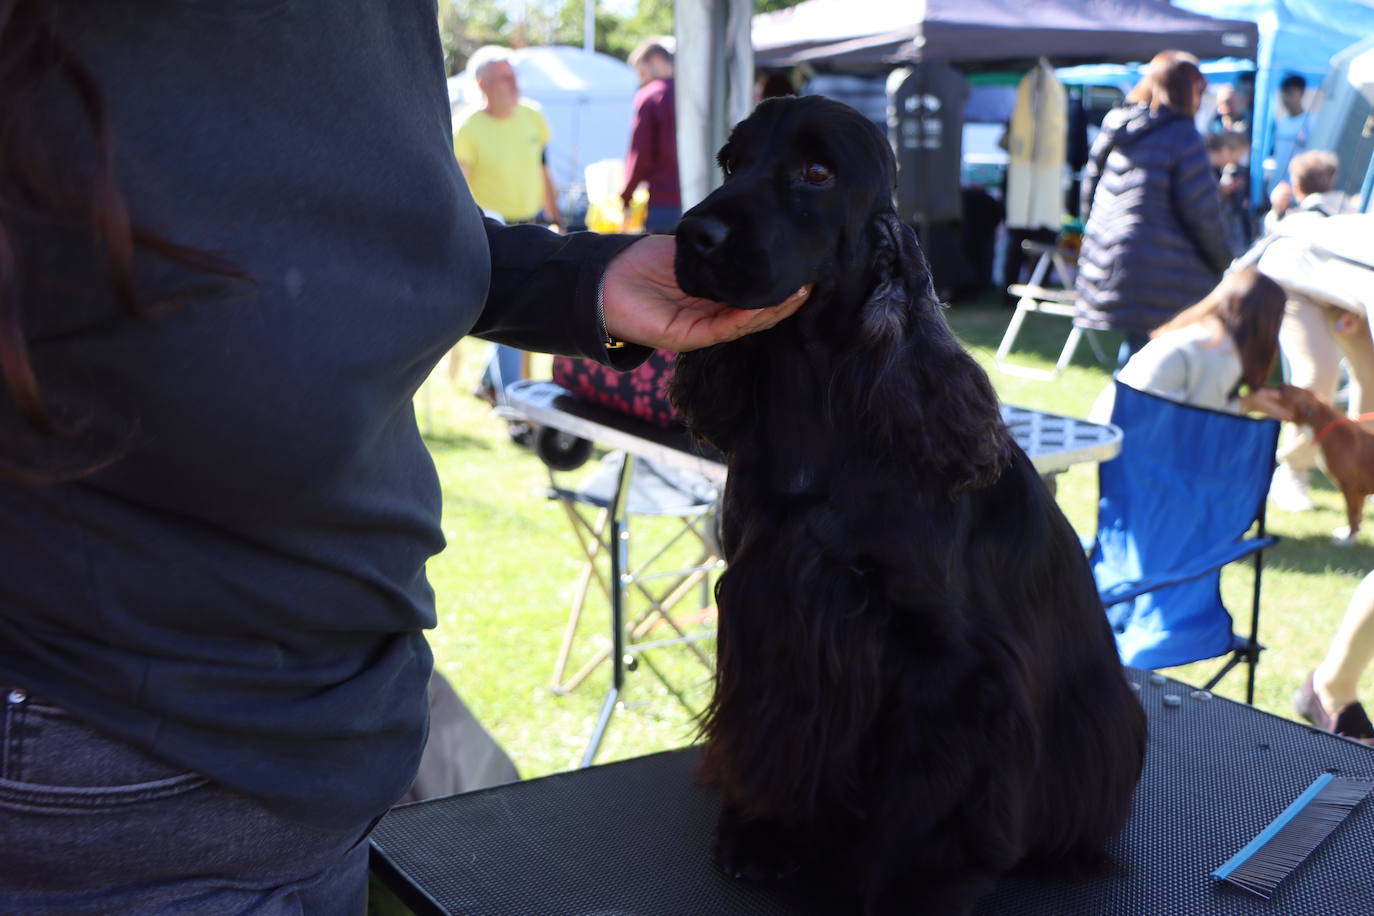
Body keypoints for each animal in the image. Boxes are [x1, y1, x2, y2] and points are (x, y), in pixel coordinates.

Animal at [665, 96, 1148, 911]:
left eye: (817, 170)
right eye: (731, 162)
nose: (691, 235)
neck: (819, 411)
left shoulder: (947, 666)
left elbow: (930, 800)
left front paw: (915, 884)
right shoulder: (766, 608)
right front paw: (763, 836)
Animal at [1269, 384, 1374, 543]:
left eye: (1282, 392)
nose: (1279, 385)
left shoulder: (1351, 489)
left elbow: (1352, 515)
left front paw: (1348, 539)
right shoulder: (1357, 493)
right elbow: (1358, 515)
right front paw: (1350, 534)